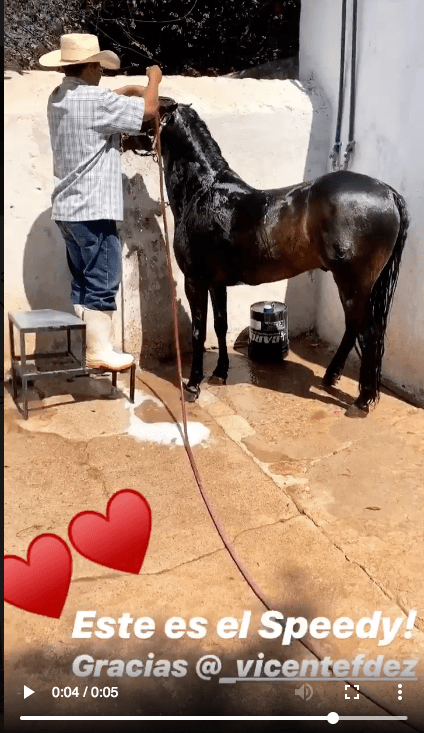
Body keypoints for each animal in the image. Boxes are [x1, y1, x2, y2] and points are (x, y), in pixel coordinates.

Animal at [124, 98, 409, 417]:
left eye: (145, 109)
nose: (122, 138)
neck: (203, 192)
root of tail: (388, 193)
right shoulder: (216, 283)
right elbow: (220, 325)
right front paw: (220, 373)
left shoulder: (195, 281)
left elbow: (198, 332)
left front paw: (194, 385)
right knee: (354, 328)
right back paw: (331, 377)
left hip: (352, 283)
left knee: (368, 332)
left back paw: (361, 402)